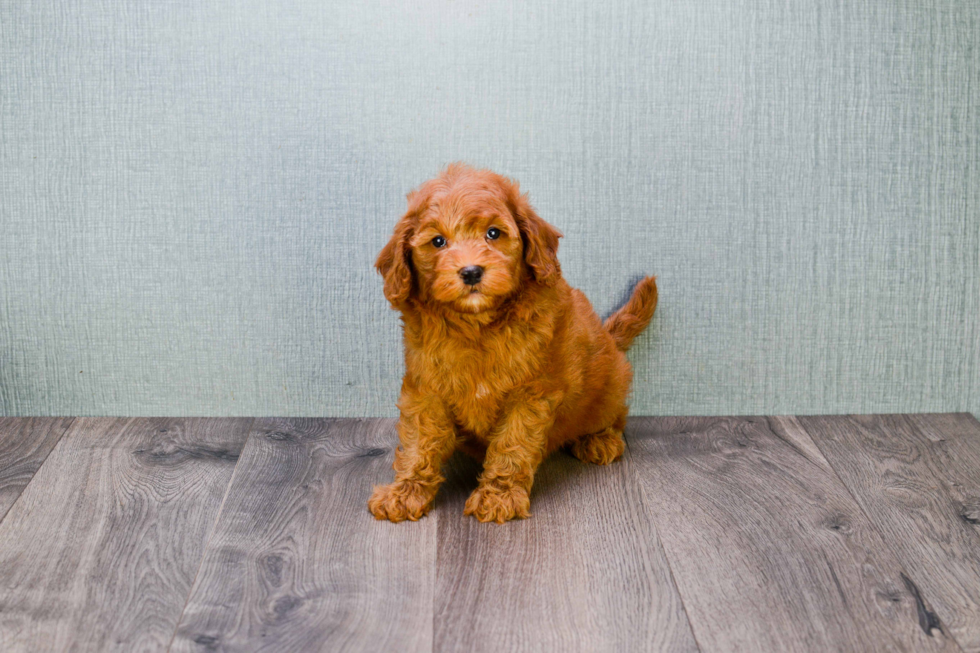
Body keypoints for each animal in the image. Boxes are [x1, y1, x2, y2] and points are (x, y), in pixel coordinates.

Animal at [368, 164, 660, 524]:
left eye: (493, 234)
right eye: (437, 241)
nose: (471, 272)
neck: (476, 326)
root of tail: (610, 340)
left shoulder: (529, 393)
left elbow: (512, 444)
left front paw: (499, 496)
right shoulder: (426, 388)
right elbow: (418, 443)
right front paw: (405, 492)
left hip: (609, 386)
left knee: (615, 415)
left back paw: (599, 439)